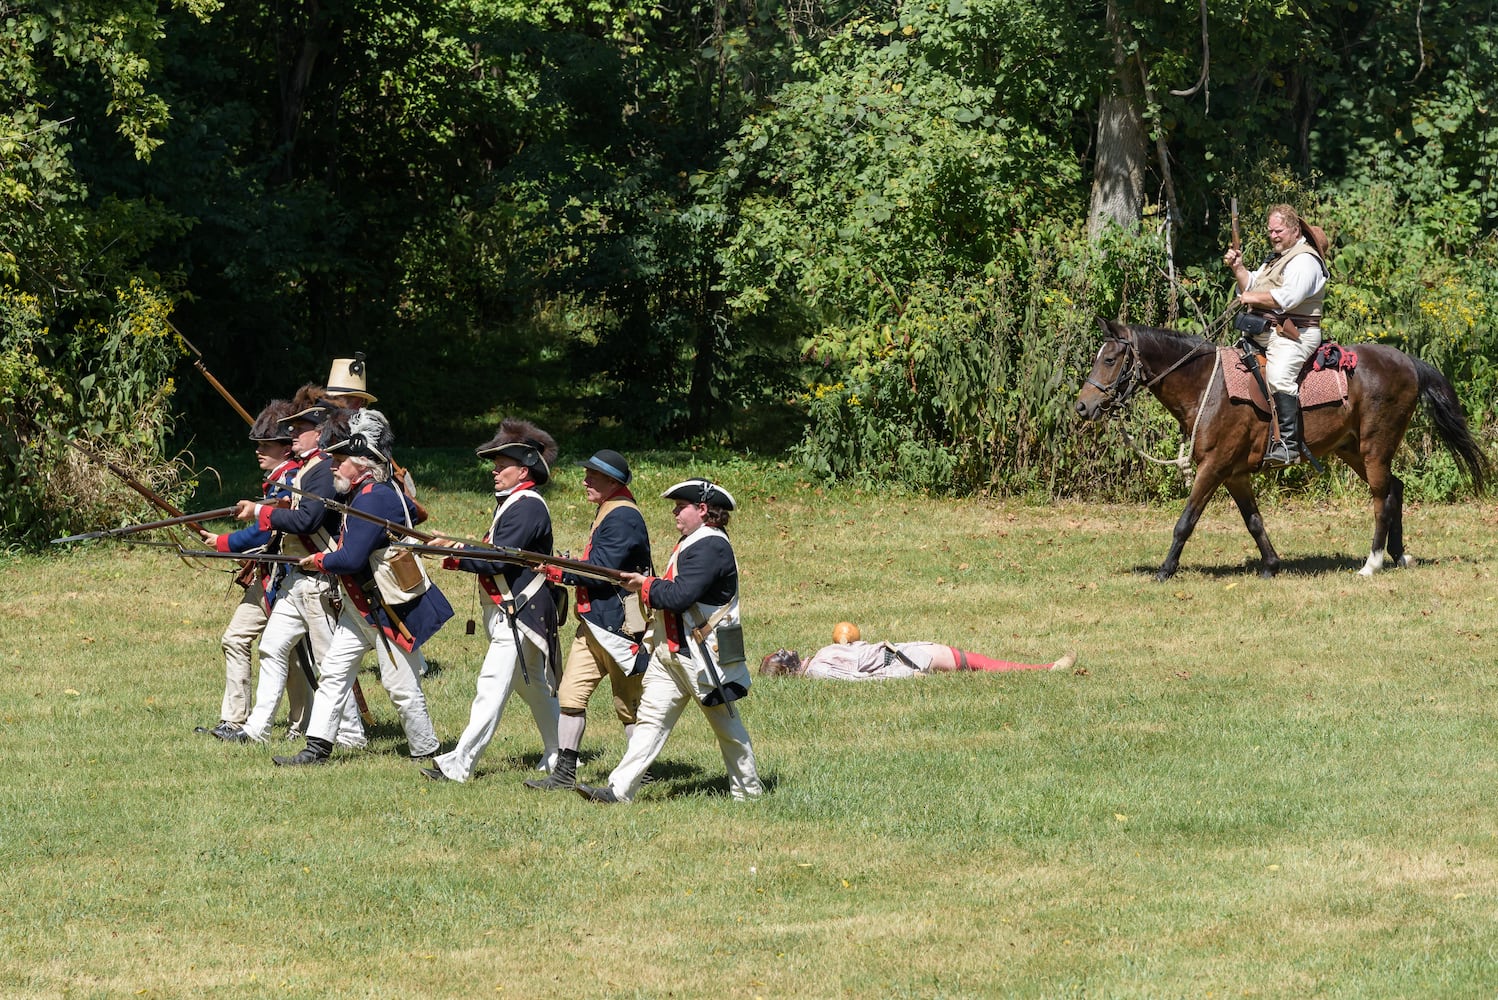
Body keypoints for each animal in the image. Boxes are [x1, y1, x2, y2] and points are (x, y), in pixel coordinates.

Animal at [1078, 315, 1486, 580]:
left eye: (1110, 359)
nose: (1083, 406)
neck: (1207, 386)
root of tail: (1409, 363)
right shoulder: (1235, 475)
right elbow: (1254, 522)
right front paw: (1271, 565)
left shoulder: (1213, 468)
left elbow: (1185, 522)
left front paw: (1164, 571)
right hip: (1353, 450)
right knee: (1396, 490)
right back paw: (1399, 556)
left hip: (1374, 450)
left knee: (1381, 500)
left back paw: (1372, 563)